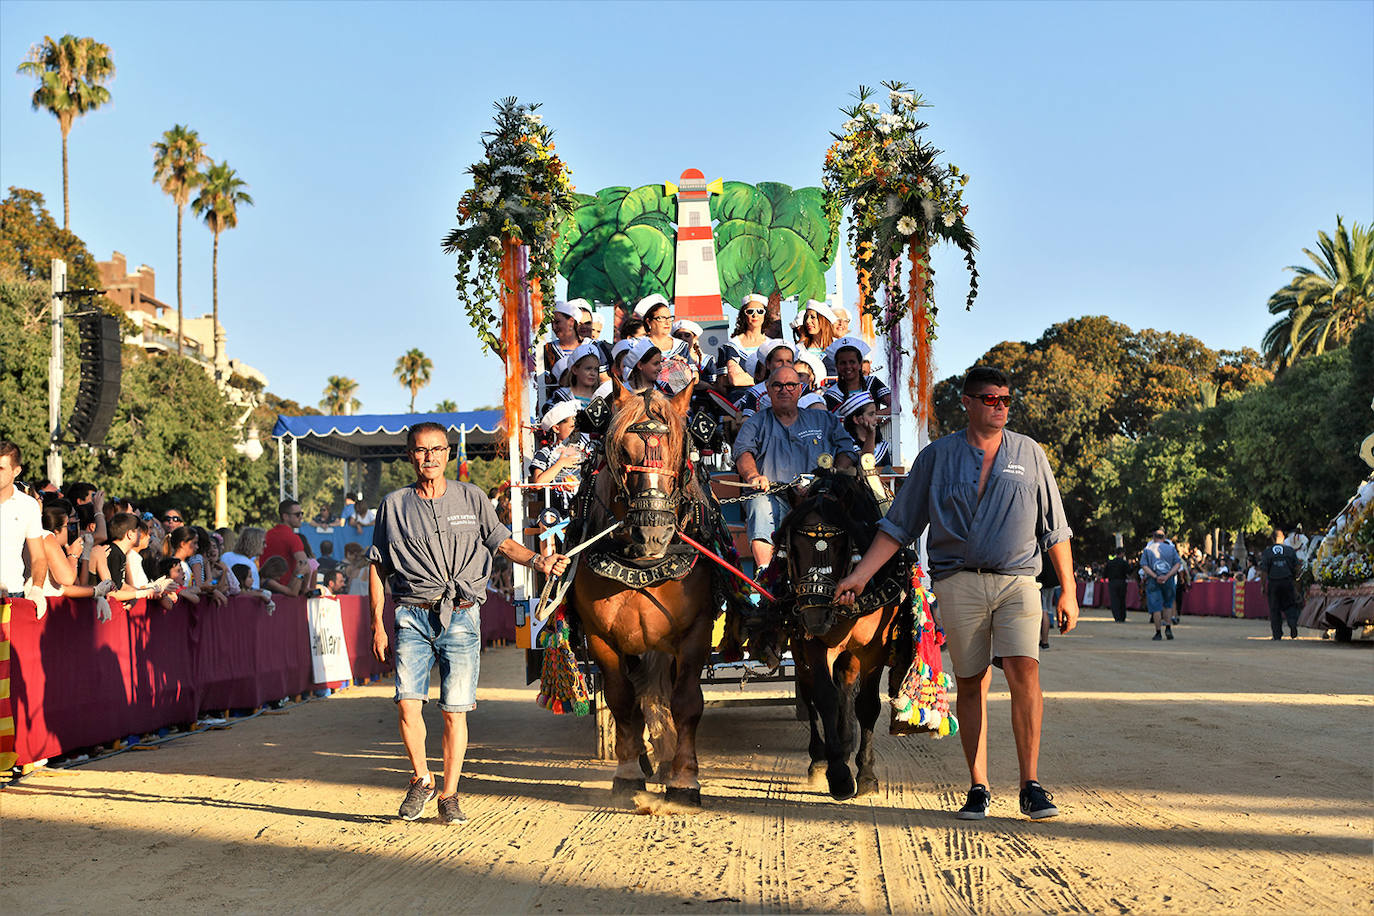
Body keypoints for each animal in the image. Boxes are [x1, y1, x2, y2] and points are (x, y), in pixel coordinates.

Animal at [568, 376, 719, 807]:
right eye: (621, 449)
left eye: (680, 448)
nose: (653, 531)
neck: (642, 566)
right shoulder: (601, 637)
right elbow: (622, 701)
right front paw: (629, 772)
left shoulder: (696, 632)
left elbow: (686, 702)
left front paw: (685, 779)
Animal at [774, 469, 912, 796]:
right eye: (792, 548)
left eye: (841, 546)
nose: (815, 616)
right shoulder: (813, 642)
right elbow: (824, 696)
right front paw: (838, 772)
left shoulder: (875, 647)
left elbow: (867, 704)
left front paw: (866, 774)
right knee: (810, 692)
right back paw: (819, 758)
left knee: (847, 686)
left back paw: (847, 741)